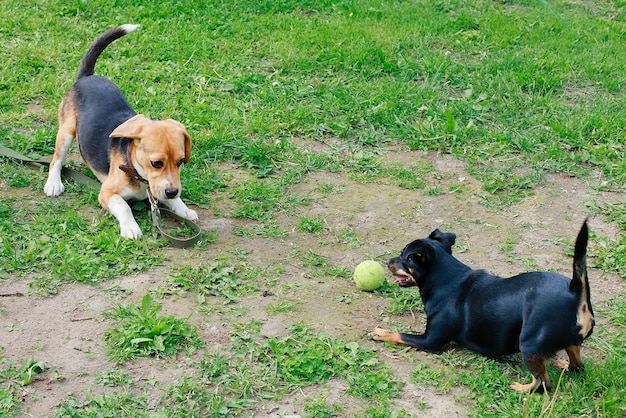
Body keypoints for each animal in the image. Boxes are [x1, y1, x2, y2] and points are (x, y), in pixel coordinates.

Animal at [368, 220, 592, 394]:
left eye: (404, 258)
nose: (387, 261)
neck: (445, 279)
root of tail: (575, 291)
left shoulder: (430, 341)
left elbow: (400, 334)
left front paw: (380, 332)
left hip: (529, 344)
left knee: (544, 383)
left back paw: (520, 388)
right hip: (570, 344)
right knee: (578, 366)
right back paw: (564, 365)